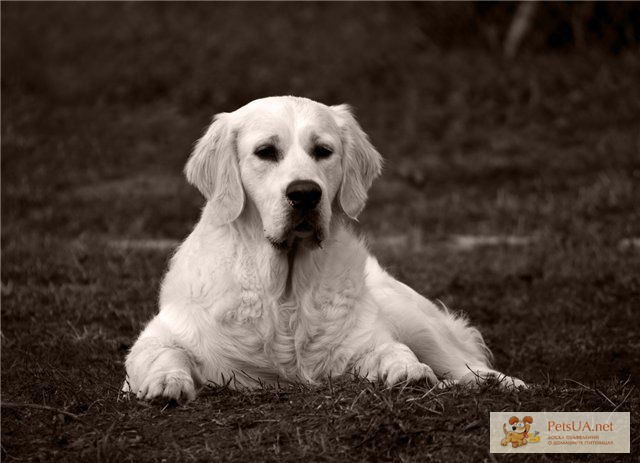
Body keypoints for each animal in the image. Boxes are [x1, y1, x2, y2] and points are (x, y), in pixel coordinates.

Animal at [124, 96, 524, 400]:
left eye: (323, 151)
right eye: (265, 152)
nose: (305, 193)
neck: (285, 292)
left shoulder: (366, 339)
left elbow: (392, 349)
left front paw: (408, 370)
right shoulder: (158, 338)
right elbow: (164, 354)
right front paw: (166, 382)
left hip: (415, 319)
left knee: (464, 363)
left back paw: (503, 383)